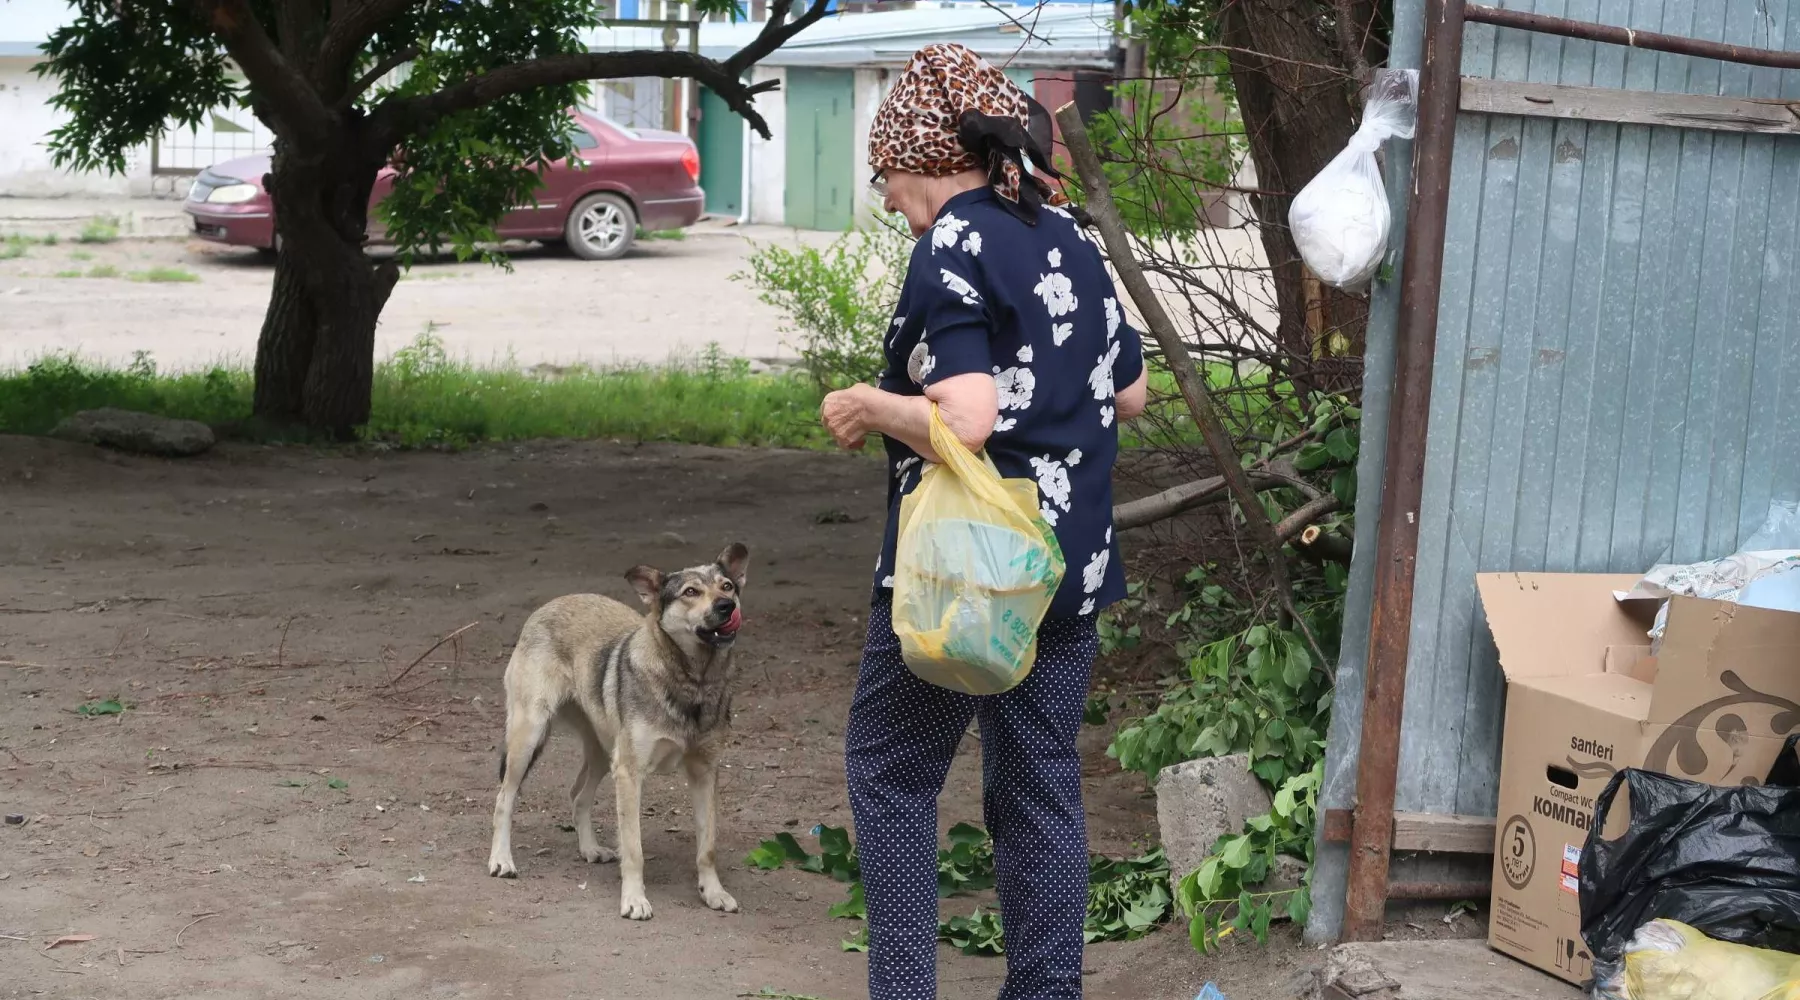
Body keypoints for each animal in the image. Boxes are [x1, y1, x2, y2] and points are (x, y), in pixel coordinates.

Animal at [482, 543, 748, 917]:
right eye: (690, 592)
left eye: (727, 586)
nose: (727, 606)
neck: (693, 683)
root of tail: (551, 604)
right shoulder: (630, 773)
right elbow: (634, 849)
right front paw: (634, 900)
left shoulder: (705, 773)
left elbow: (707, 847)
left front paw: (713, 893)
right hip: (530, 737)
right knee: (504, 798)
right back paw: (502, 860)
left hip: (602, 753)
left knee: (578, 795)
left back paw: (590, 849)